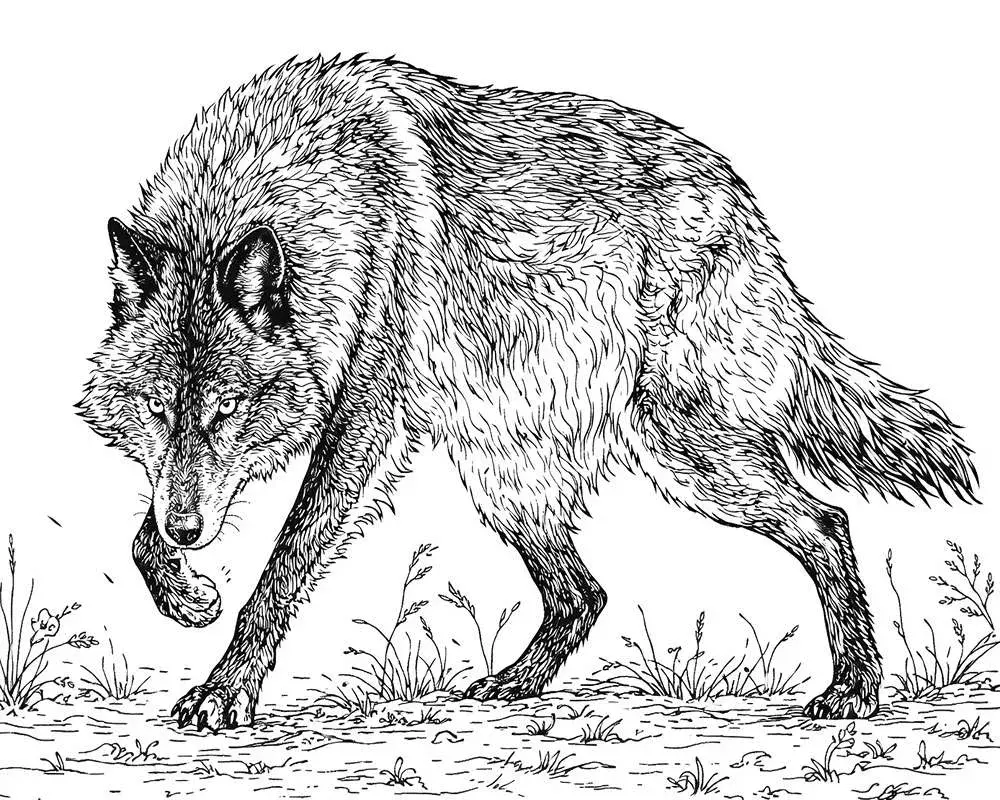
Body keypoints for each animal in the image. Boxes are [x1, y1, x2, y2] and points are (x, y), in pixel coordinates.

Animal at [80, 55, 977, 731]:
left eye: (226, 412)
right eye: (160, 412)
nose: (192, 534)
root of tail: (746, 210)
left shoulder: (361, 423)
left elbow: (282, 565)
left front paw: (223, 689)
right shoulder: (190, 478)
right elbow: (140, 534)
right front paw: (186, 594)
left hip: (689, 458)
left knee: (826, 522)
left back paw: (854, 690)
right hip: (508, 480)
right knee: (586, 592)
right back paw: (515, 683)